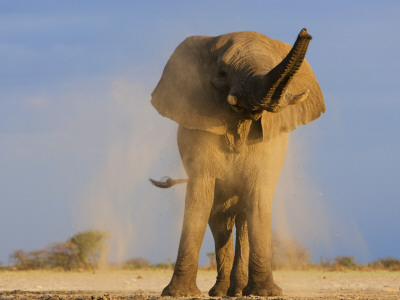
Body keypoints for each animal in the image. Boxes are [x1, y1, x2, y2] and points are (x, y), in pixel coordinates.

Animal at [151, 28, 324, 298]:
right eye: (223, 73)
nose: (305, 32)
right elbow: (200, 199)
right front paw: (178, 293)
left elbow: (259, 201)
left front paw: (267, 293)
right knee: (220, 222)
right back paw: (221, 292)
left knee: (242, 220)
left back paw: (237, 291)